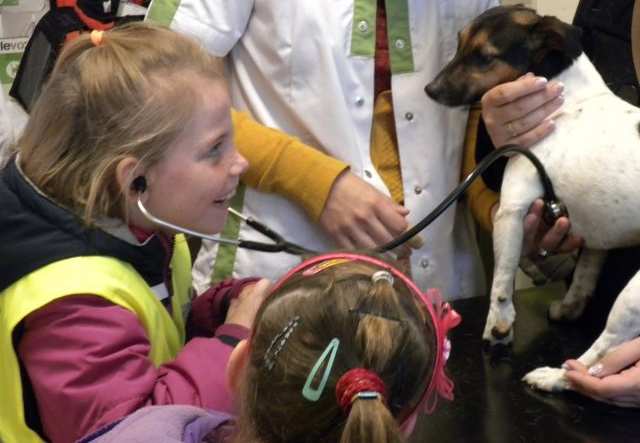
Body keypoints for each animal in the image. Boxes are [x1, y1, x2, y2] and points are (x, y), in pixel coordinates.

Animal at [424, 4, 640, 392]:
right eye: (460, 42)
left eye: (484, 56)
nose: (430, 89)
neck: (568, 100)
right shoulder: (600, 234)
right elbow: (584, 276)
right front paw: (569, 307)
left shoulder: (511, 209)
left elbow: (501, 283)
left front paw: (498, 329)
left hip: (633, 299)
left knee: (598, 359)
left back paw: (554, 377)